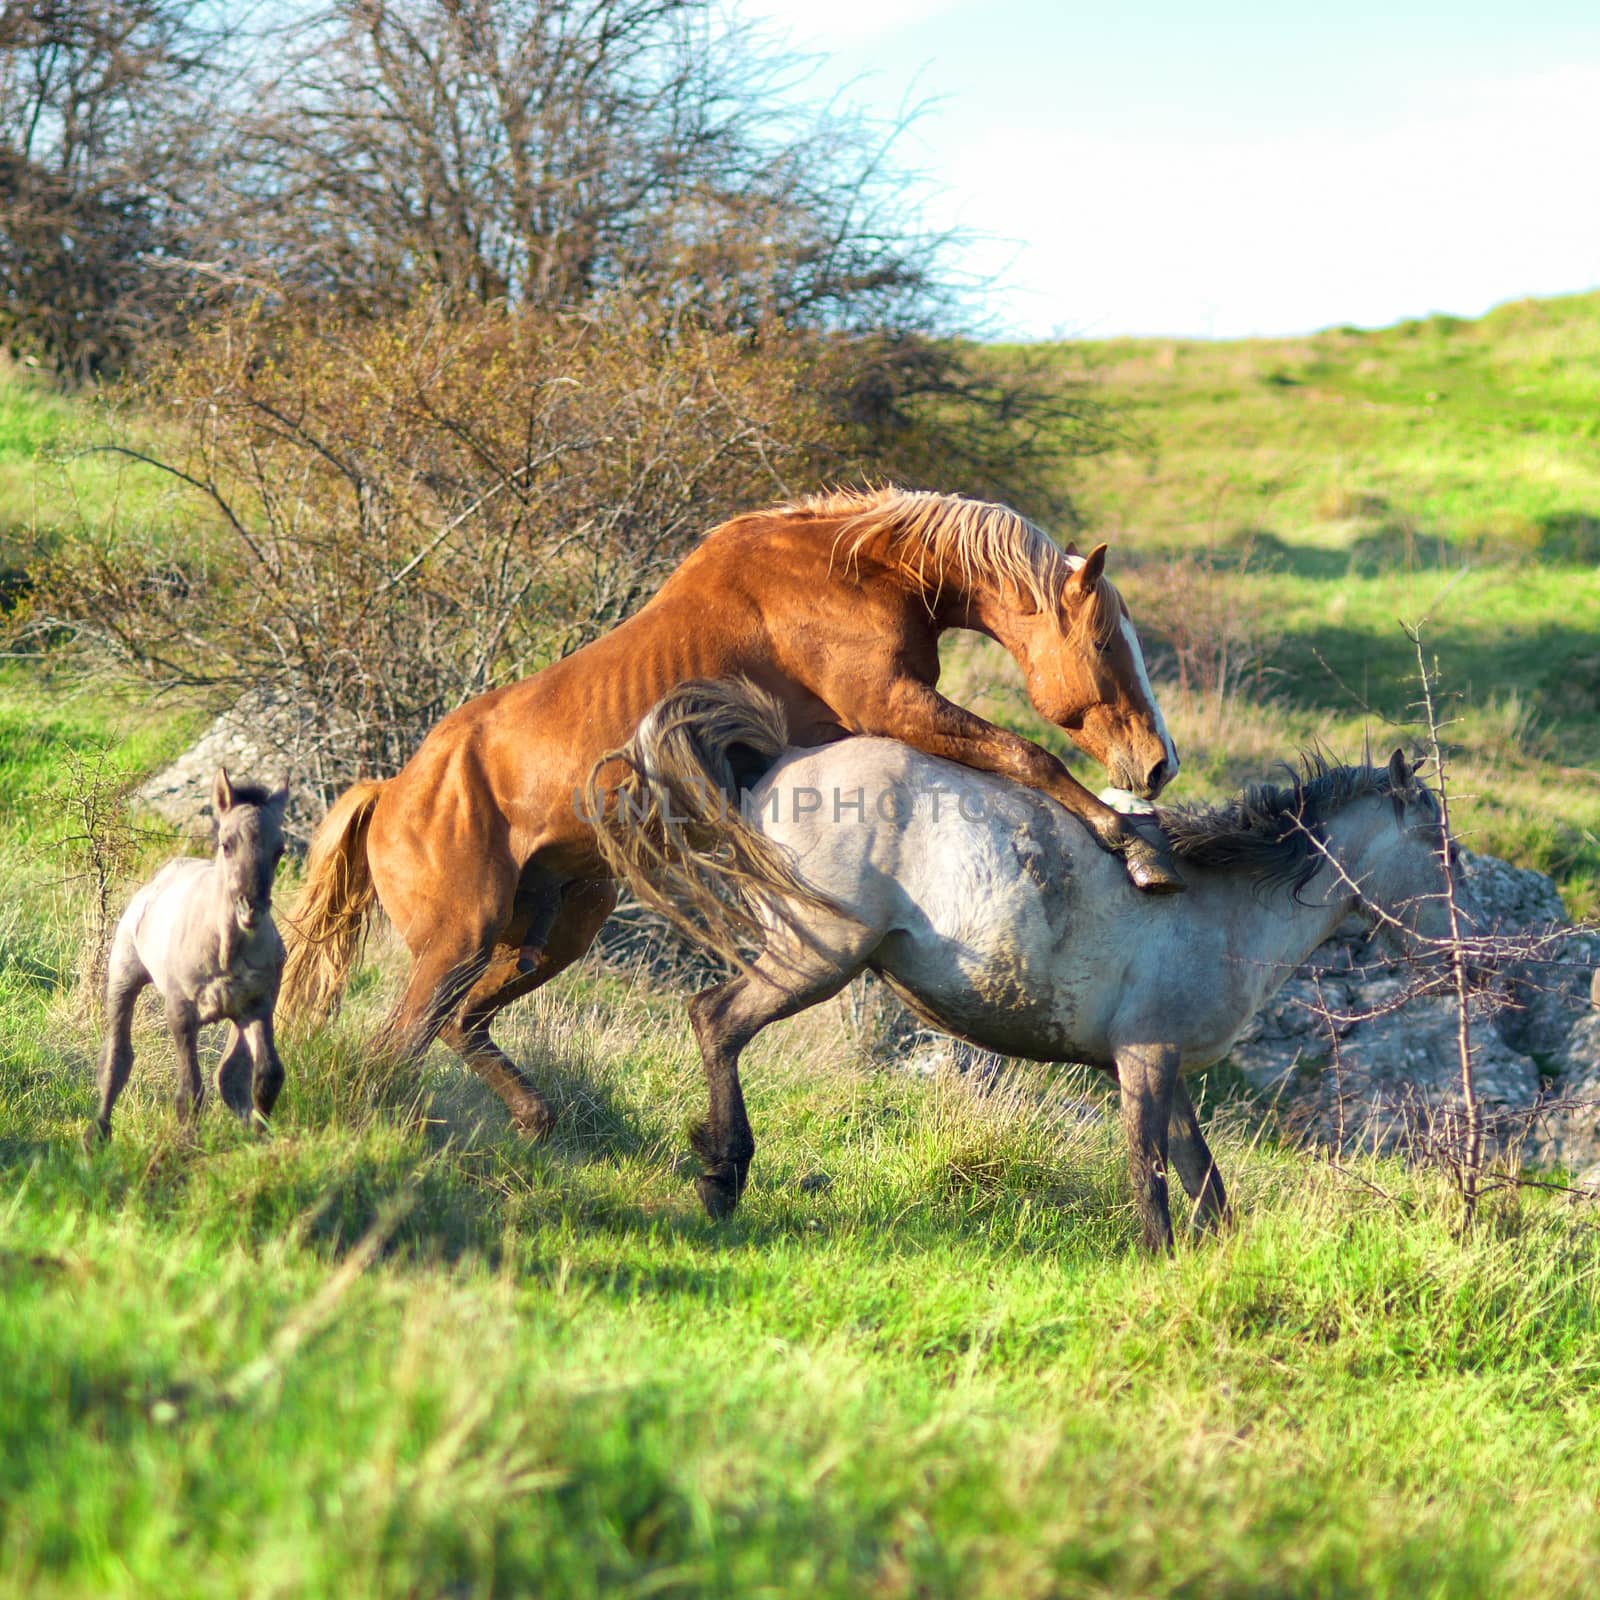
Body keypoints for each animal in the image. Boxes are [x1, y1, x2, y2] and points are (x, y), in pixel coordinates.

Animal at [90, 768, 291, 1145]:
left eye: (279, 851)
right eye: (227, 843)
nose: (251, 908)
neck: (225, 951)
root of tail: (162, 876)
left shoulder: (257, 1004)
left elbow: (267, 1074)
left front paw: (259, 1135)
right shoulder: (181, 1012)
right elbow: (190, 1090)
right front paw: (187, 1143)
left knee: (231, 1073)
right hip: (123, 976)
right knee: (116, 1057)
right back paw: (96, 1134)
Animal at [281, 480, 1184, 1132]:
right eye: (1104, 642)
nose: (1158, 765)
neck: (857, 571)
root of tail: (390, 795)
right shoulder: (893, 705)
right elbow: (1028, 755)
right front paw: (1137, 848)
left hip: (552, 932)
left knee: (461, 1025)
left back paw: (534, 1119)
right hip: (458, 943)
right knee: (397, 1046)